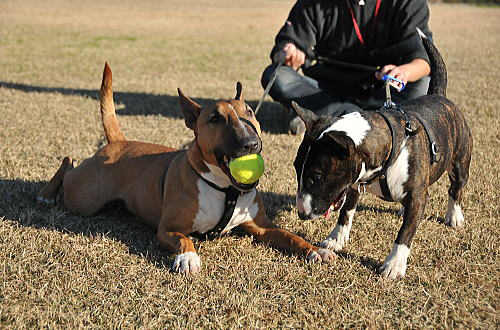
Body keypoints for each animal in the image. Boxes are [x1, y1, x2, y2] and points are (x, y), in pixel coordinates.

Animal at [37, 63, 334, 274]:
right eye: (215, 118)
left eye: (249, 112)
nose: (251, 144)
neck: (225, 189)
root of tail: (118, 142)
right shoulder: (167, 228)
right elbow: (184, 239)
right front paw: (188, 258)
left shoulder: (262, 227)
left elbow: (290, 236)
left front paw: (315, 250)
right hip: (83, 197)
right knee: (68, 162)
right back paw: (46, 194)